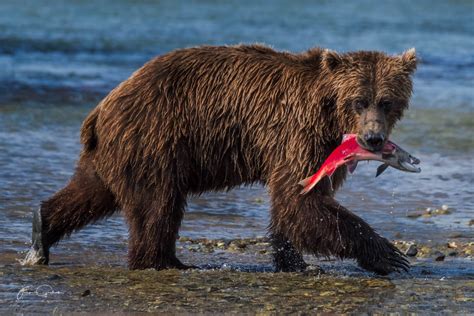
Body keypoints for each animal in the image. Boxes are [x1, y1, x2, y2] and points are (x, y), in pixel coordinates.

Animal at [24, 43, 416, 274]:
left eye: (386, 101)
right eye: (359, 100)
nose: (373, 138)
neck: (328, 113)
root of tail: (100, 109)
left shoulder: (318, 148)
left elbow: (294, 206)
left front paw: (293, 262)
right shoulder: (298, 134)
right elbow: (300, 201)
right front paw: (389, 254)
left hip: (123, 150)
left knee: (93, 190)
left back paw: (42, 229)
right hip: (157, 137)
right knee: (157, 205)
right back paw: (162, 262)